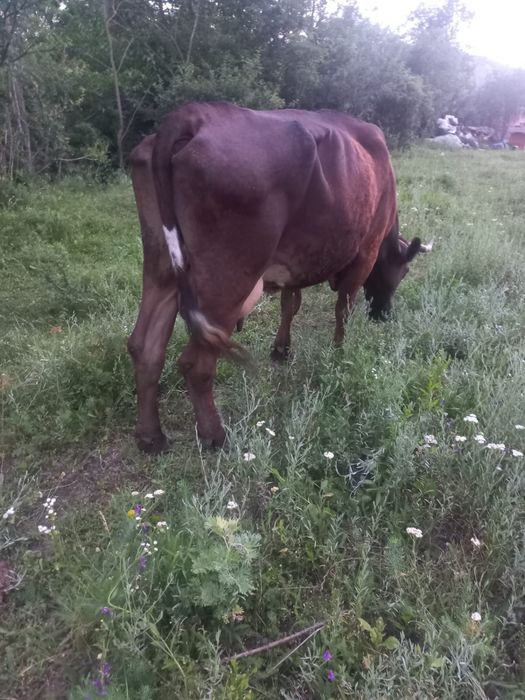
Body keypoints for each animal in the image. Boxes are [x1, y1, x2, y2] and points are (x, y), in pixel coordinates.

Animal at [128, 102, 429, 453]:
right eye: (403, 272)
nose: (384, 315)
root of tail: (194, 114)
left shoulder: (295, 261)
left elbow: (290, 303)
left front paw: (282, 349)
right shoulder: (365, 253)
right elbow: (343, 308)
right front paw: (339, 353)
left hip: (161, 265)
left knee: (144, 346)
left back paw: (151, 436)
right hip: (227, 278)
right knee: (196, 363)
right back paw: (215, 435)